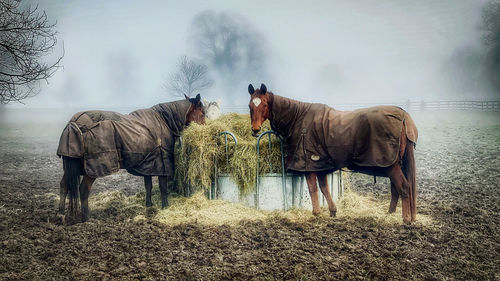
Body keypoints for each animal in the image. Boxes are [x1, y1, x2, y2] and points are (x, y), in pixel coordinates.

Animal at [57, 93, 206, 221]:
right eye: (203, 112)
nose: (206, 126)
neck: (164, 120)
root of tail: (74, 123)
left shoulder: (149, 164)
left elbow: (148, 186)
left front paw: (149, 205)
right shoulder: (162, 164)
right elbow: (163, 188)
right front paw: (165, 206)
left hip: (71, 167)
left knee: (64, 185)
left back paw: (61, 214)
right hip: (93, 169)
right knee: (83, 190)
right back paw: (86, 217)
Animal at [247, 82, 418, 222]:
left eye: (264, 104)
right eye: (250, 105)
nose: (255, 130)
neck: (298, 117)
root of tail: (404, 118)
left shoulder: (309, 165)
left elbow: (313, 189)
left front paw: (316, 213)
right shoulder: (321, 164)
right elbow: (324, 188)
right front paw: (332, 211)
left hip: (391, 165)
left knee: (403, 187)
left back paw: (406, 219)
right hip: (395, 164)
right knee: (396, 189)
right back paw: (390, 215)